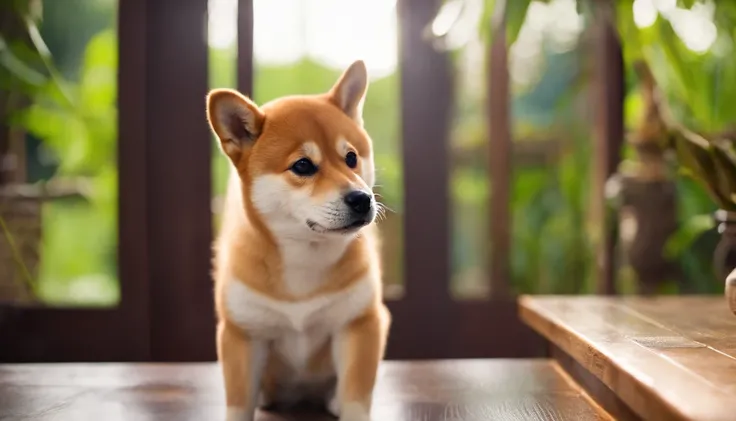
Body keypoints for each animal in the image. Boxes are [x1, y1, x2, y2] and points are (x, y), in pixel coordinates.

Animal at [206, 60, 392, 420]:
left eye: (351, 158)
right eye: (303, 165)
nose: (361, 199)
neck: (305, 256)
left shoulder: (358, 323)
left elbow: (356, 397)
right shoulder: (242, 334)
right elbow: (238, 403)